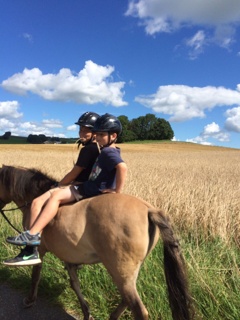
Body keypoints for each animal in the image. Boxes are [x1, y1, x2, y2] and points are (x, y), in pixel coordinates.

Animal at [0, 165, 192, 320]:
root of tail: (149, 209)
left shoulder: (40, 249)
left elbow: (36, 275)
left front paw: (30, 300)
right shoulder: (69, 256)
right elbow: (74, 283)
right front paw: (86, 313)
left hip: (120, 269)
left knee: (137, 309)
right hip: (127, 273)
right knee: (126, 299)